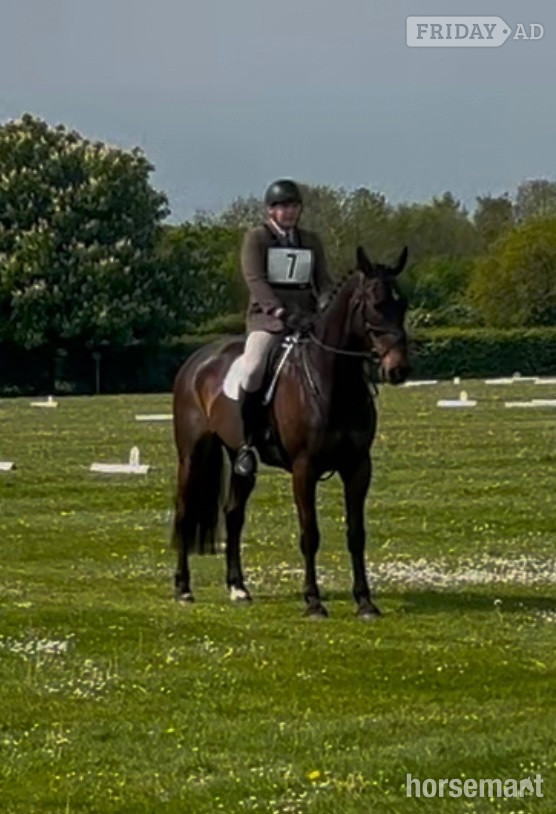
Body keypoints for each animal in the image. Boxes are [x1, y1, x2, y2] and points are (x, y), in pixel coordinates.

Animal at [171, 245, 410, 618]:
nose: (398, 368)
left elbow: (356, 533)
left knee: (233, 515)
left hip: (240, 460)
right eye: (374, 304)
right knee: (184, 512)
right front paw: (313, 602)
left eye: (404, 305)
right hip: (192, 455)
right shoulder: (304, 468)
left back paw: (238, 587)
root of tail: (196, 360)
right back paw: (183, 588)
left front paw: (365, 602)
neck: (334, 382)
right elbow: (309, 533)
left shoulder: (358, 467)